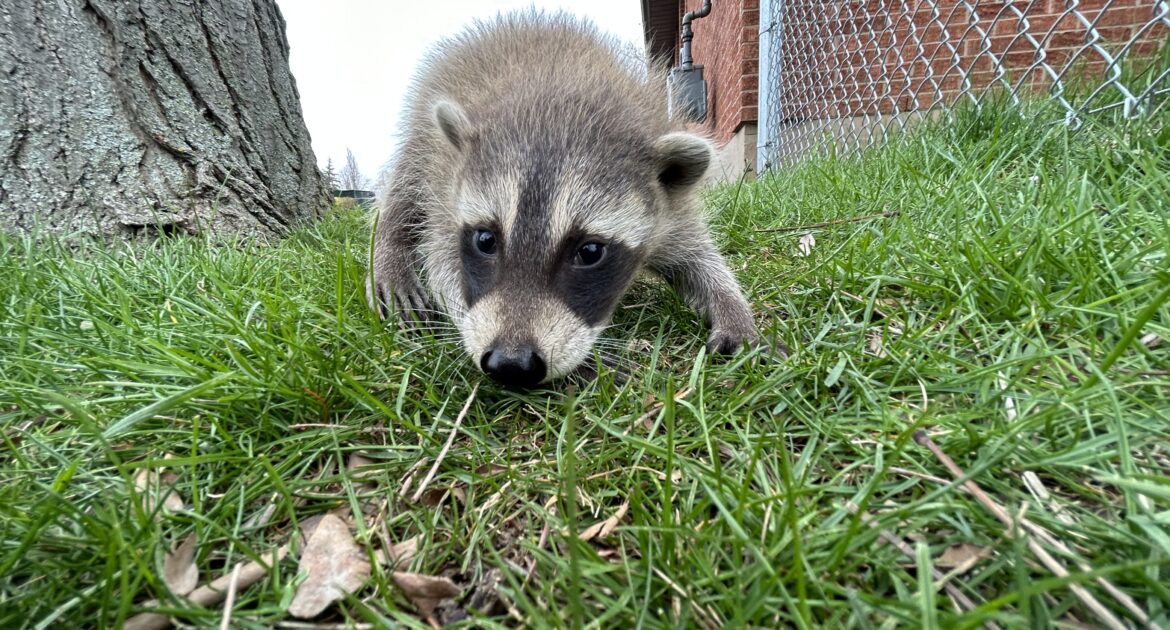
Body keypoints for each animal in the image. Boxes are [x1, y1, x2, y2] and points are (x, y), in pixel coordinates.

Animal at [369, 11, 762, 386]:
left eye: (590, 252)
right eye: (485, 240)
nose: (510, 363)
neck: (558, 96)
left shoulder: (670, 206)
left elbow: (697, 258)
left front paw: (731, 307)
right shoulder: (446, 188)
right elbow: (443, 262)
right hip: (425, 132)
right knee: (404, 189)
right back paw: (391, 253)